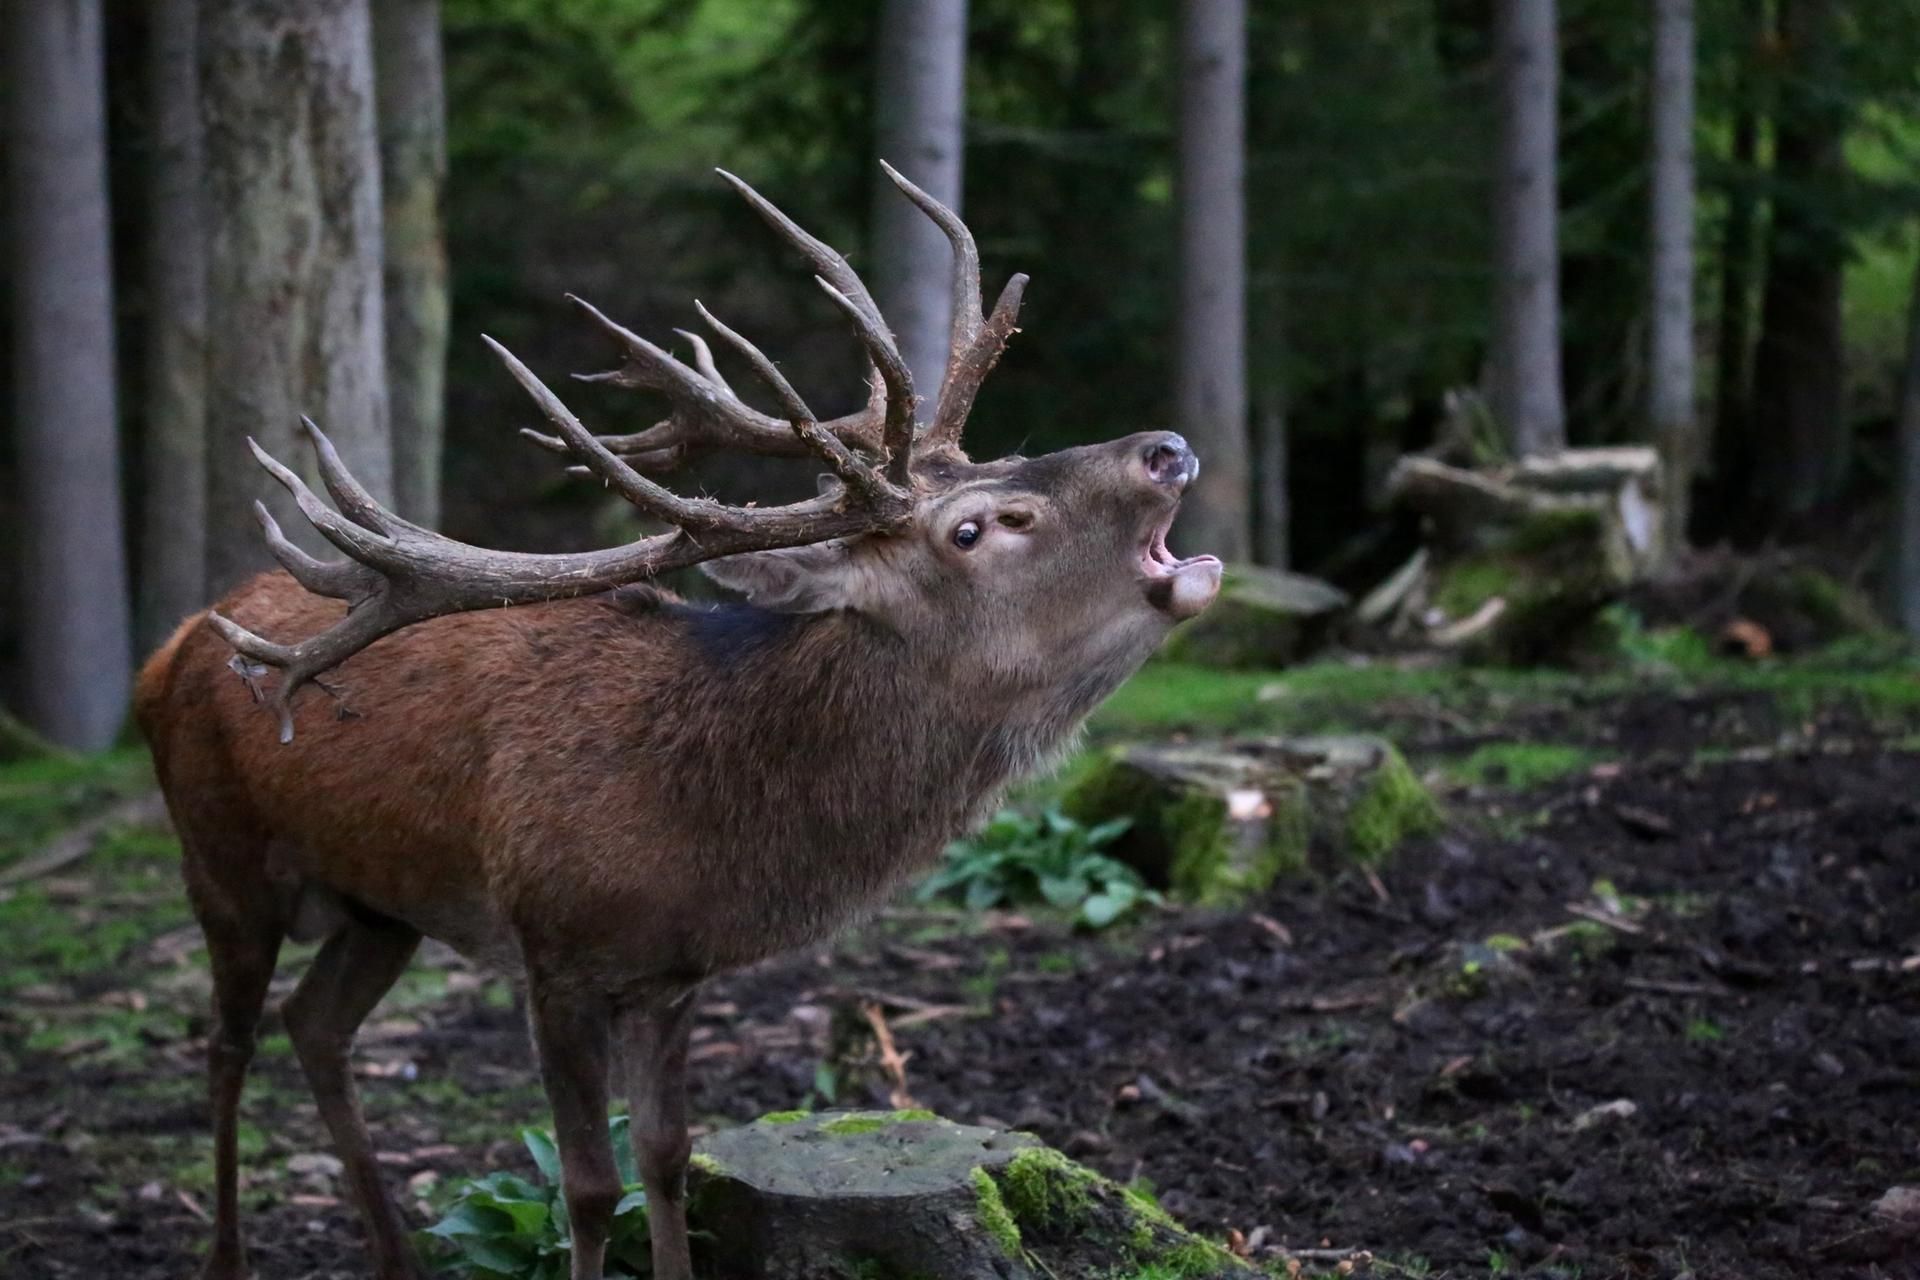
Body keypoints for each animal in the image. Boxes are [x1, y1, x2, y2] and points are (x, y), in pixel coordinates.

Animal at [135, 163, 1222, 1280]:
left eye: (1009, 454)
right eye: (974, 527)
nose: (1165, 446)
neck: (699, 823)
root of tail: (171, 646)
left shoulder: (672, 975)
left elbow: (664, 1156)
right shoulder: (554, 953)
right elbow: (587, 1182)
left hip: (377, 900)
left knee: (315, 1023)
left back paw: (396, 1256)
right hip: (220, 855)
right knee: (228, 1041)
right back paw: (226, 1255)